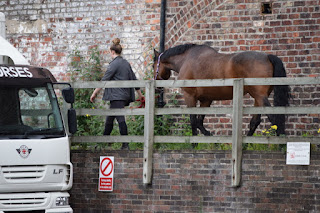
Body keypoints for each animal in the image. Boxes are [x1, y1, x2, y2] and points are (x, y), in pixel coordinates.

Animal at [153, 43, 290, 136]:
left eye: (153, 65)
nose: (157, 88)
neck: (186, 59)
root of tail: (267, 56)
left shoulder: (189, 96)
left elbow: (193, 121)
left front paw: (194, 144)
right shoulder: (206, 100)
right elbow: (199, 121)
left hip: (260, 97)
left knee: (274, 118)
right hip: (258, 97)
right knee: (255, 121)